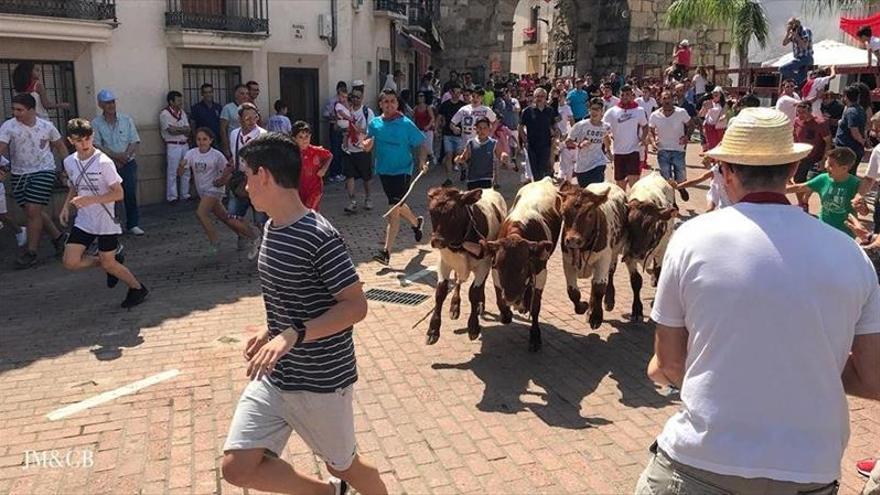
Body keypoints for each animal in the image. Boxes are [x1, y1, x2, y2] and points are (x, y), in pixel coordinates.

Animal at [428, 188, 508, 346]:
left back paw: (480, 305)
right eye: (431, 211)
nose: (437, 241)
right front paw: (433, 330)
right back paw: (455, 305)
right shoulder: (444, 262)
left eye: (453, 213)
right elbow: (440, 292)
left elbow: (474, 293)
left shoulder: (484, 264)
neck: (458, 243)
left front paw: (473, 326)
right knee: (458, 280)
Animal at [482, 178, 564, 352]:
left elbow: (536, 306)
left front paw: (535, 336)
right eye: (500, 267)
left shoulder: (541, 272)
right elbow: (499, 299)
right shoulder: (495, 270)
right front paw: (506, 314)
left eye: (522, 268)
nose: (511, 298)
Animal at [560, 181, 628, 330]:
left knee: (610, 273)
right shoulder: (567, 261)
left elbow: (598, 287)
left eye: (590, 214)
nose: (573, 240)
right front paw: (582, 307)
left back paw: (609, 301)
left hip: (614, 253)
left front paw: (595, 317)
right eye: (563, 213)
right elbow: (572, 291)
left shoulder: (603, 259)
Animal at [624, 172, 676, 322]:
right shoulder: (628, 254)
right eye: (628, 224)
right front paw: (636, 310)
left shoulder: (661, 251)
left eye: (651, 225)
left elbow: (658, 272)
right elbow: (636, 281)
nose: (636, 252)